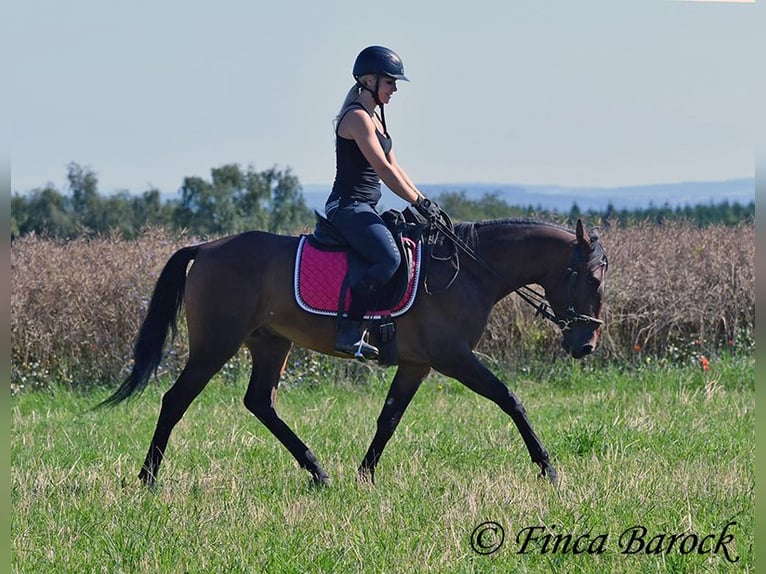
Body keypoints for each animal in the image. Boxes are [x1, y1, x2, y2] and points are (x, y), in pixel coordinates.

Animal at [99, 217, 608, 490]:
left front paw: (364, 476)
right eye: (592, 278)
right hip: (215, 344)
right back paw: (147, 479)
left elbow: (389, 418)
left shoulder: (417, 363)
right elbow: (510, 399)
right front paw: (548, 468)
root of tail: (206, 247)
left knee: (260, 402)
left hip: (271, 342)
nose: (585, 345)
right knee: (175, 401)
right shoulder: (453, 357)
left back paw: (319, 472)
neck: (469, 271)